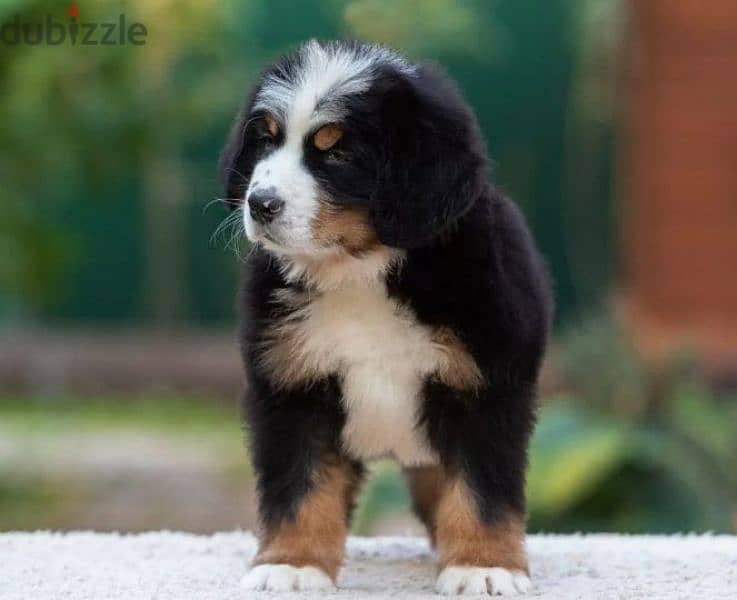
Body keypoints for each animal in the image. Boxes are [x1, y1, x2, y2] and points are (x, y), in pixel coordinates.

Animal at [220, 41, 552, 596]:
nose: (260, 204)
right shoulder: (291, 385)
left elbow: (481, 489)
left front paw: (483, 565)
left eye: (336, 151)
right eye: (265, 139)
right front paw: (292, 565)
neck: (360, 271)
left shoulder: (486, 387)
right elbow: (300, 485)